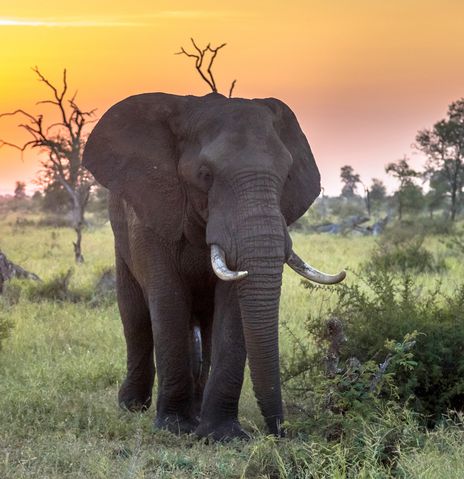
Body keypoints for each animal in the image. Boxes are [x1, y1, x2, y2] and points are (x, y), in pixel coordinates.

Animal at [82, 92, 344, 440]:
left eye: (287, 174)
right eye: (205, 175)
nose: (281, 431)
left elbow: (232, 308)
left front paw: (222, 435)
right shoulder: (153, 214)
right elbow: (167, 299)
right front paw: (174, 428)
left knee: (204, 328)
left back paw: (196, 412)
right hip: (120, 240)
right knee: (135, 317)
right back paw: (133, 407)